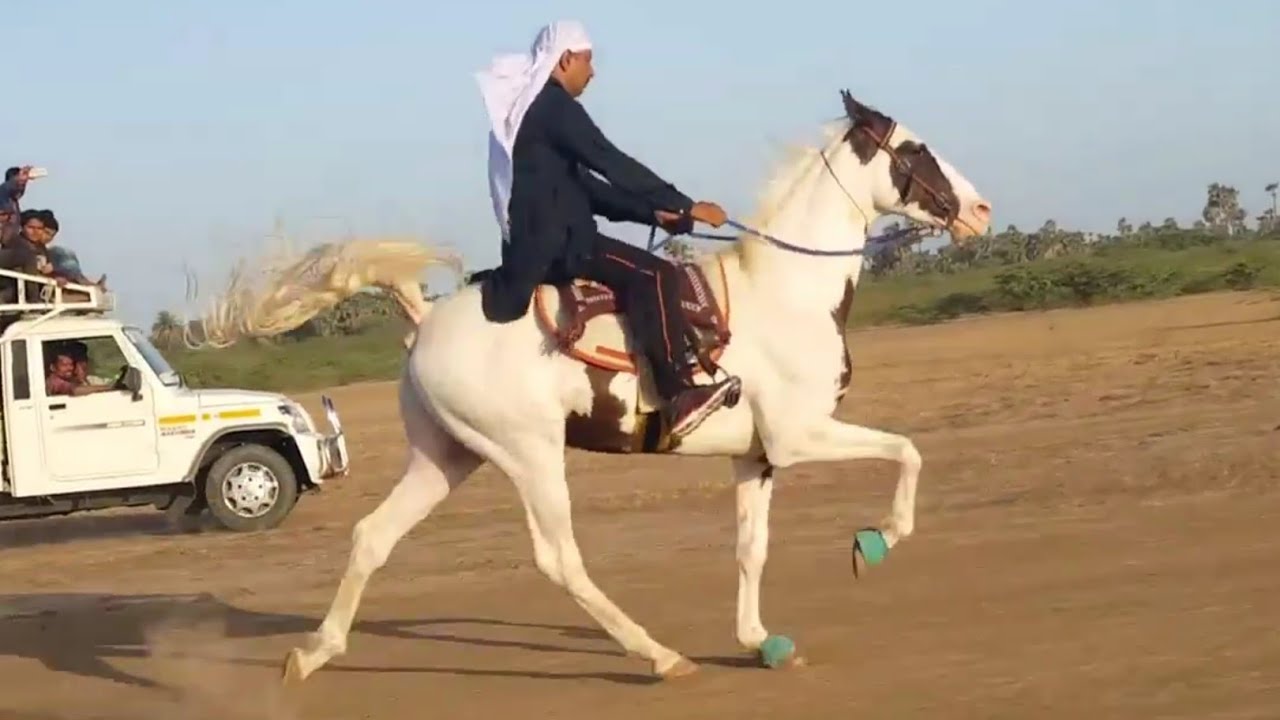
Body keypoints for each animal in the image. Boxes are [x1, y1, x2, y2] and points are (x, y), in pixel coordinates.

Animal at [279, 89, 993, 683]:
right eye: (914, 149)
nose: (981, 211)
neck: (784, 293)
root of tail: (425, 319)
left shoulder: (757, 458)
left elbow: (751, 549)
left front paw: (759, 640)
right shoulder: (801, 437)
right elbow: (907, 452)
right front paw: (874, 542)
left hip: (446, 457)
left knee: (373, 535)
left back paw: (311, 655)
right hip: (530, 455)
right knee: (559, 560)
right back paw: (660, 655)